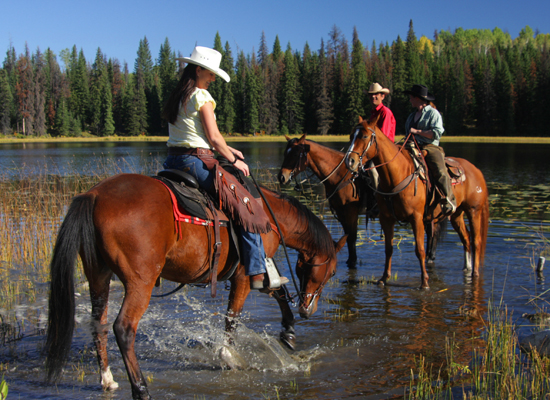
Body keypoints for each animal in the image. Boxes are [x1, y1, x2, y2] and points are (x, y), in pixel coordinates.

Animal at [45, 174, 344, 400]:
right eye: (332, 271)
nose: (308, 309)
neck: (270, 217)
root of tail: (94, 195)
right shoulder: (246, 275)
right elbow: (232, 317)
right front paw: (229, 356)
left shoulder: (259, 270)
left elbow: (278, 292)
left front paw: (289, 333)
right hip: (140, 282)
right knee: (124, 328)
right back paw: (141, 389)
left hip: (99, 275)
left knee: (99, 324)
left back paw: (107, 379)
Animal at [348, 117, 490, 290]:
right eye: (351, 136)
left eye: (364, 136)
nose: (350, 161)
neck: (398, 174)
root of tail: (477, 170)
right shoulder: (386, 218)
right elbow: (388, 249)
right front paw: (384, 278)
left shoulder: (416, 218)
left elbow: (420, 250)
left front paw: (425, 282)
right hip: (457, 214)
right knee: (466, 238)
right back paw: (466, 268)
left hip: (474, 211)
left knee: (476, 241)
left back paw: (475, 273)